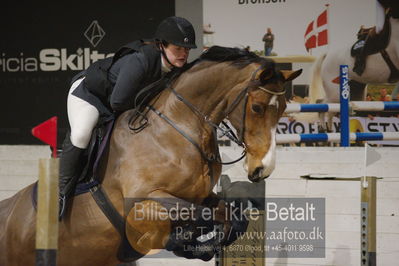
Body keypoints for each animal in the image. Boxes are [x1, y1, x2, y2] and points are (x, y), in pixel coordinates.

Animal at [0, 46, 300, 264]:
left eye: (283, 108)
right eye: (258, 108)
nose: (262, 169)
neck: (177, 128)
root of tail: (10, 211)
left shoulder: (201, 195)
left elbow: (232, 216)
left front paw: (201, 244)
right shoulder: (144, 200)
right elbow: (198, 215)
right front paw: (184, 242)